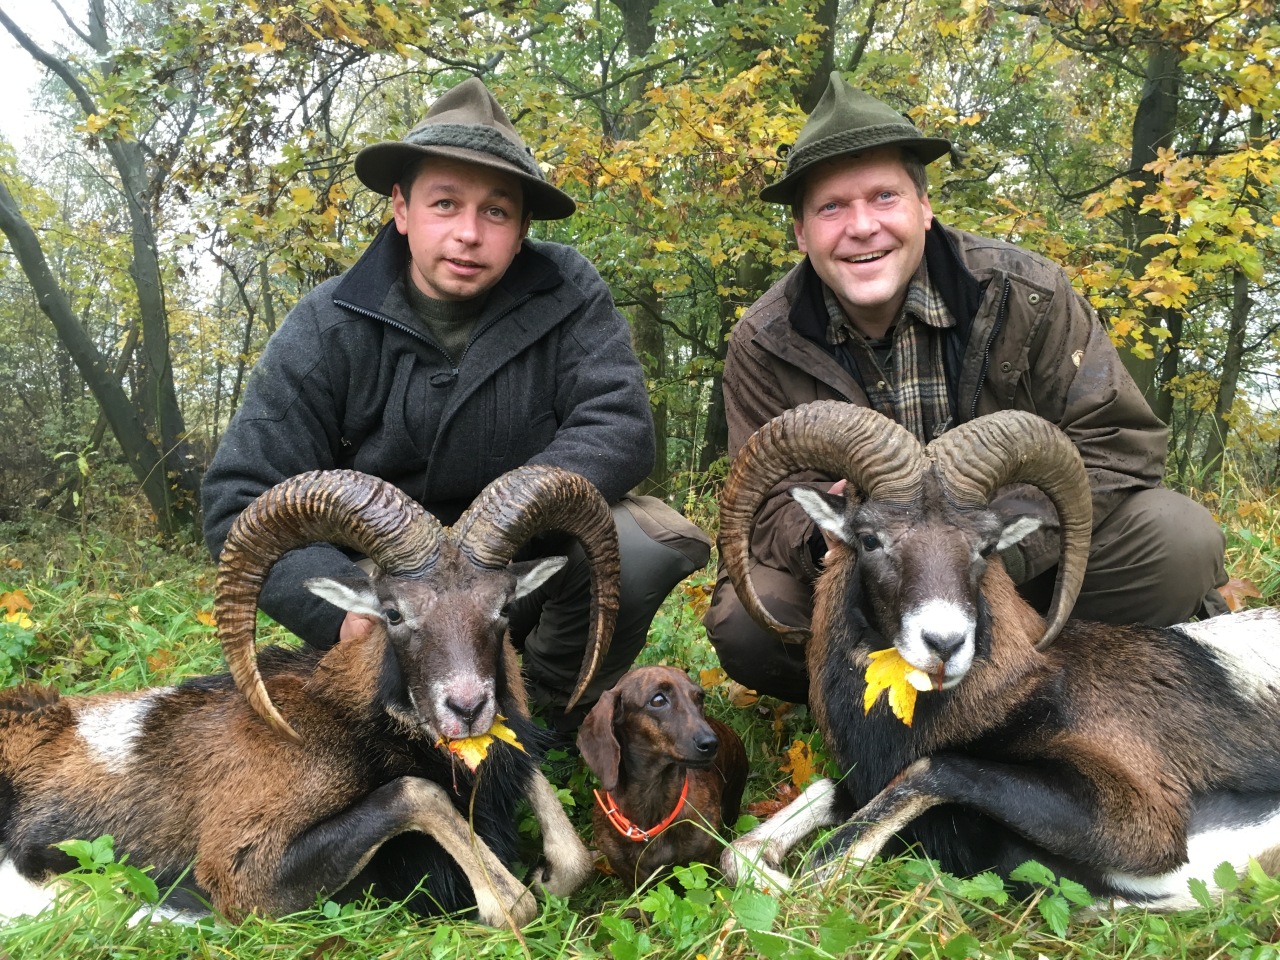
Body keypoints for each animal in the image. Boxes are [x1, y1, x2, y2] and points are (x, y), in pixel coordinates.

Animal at [0, 464, 619, 926]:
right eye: (393, 613)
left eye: (504, 605)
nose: (467, 710)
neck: (355, 725)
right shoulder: (245, 877)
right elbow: (421, 799)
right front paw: (503, 901)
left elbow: (570, 852)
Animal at [715, 401, 1280, 910]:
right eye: (870, 539)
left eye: (985, 547)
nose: (944, 644)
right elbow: (754, 841)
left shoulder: (1143, 825)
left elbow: (924, 776)